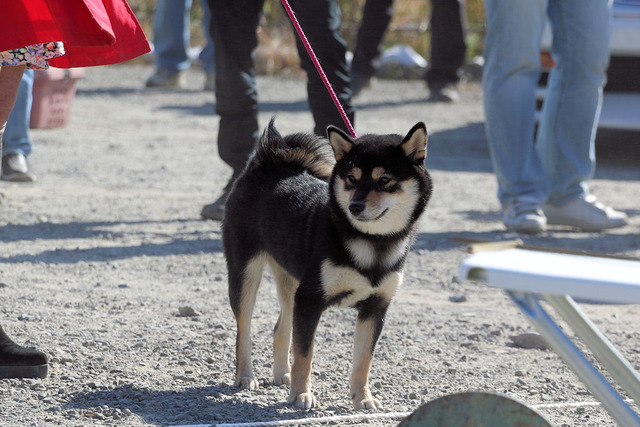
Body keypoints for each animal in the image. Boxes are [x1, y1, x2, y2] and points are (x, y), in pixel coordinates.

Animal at [222, 118, 432, 412]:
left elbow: (363, 360)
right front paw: (301, 394)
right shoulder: (310, 300)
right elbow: (305, 353)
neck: (371, 243)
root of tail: (269, 159)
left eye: (384, 180)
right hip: (246, 274)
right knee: (244, 331)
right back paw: (244, 376)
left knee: (280, 327)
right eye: (352, 178)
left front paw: (362, 397)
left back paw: (281, 374)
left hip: (291, 282)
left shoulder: (375, 308)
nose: (355, 206)